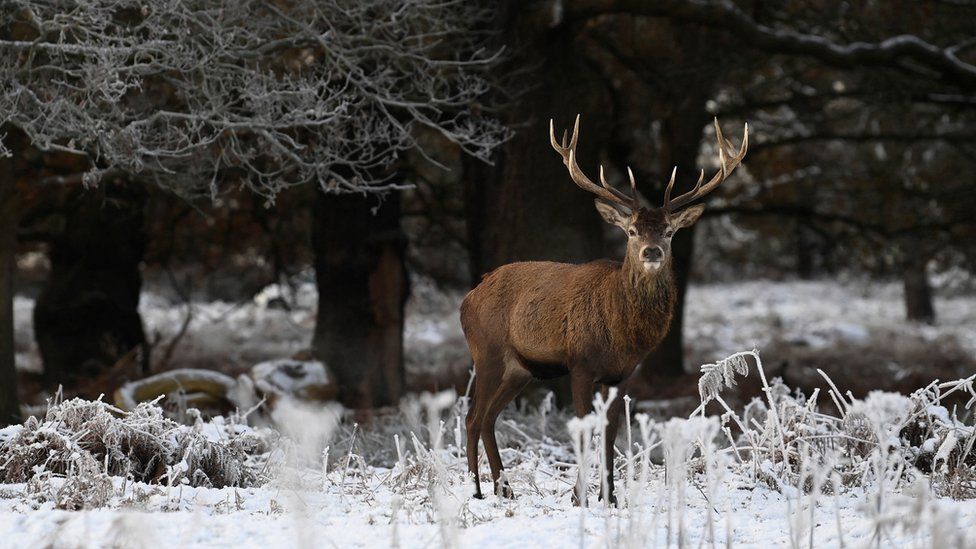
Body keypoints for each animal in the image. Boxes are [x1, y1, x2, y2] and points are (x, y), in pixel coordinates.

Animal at [458, 115, 748, 506]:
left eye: (669, 231)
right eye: (632, 230)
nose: (652, 252)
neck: (622, 333)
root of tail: (468, 298)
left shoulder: (620, 374)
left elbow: (611, 431)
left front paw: (609, 497)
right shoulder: (580, 363)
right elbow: (584, 430)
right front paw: (578, 496)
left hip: (520, 368)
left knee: (488, 418)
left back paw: (505, 489)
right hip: (487, 351)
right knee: (473, 417)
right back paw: (477, 490)